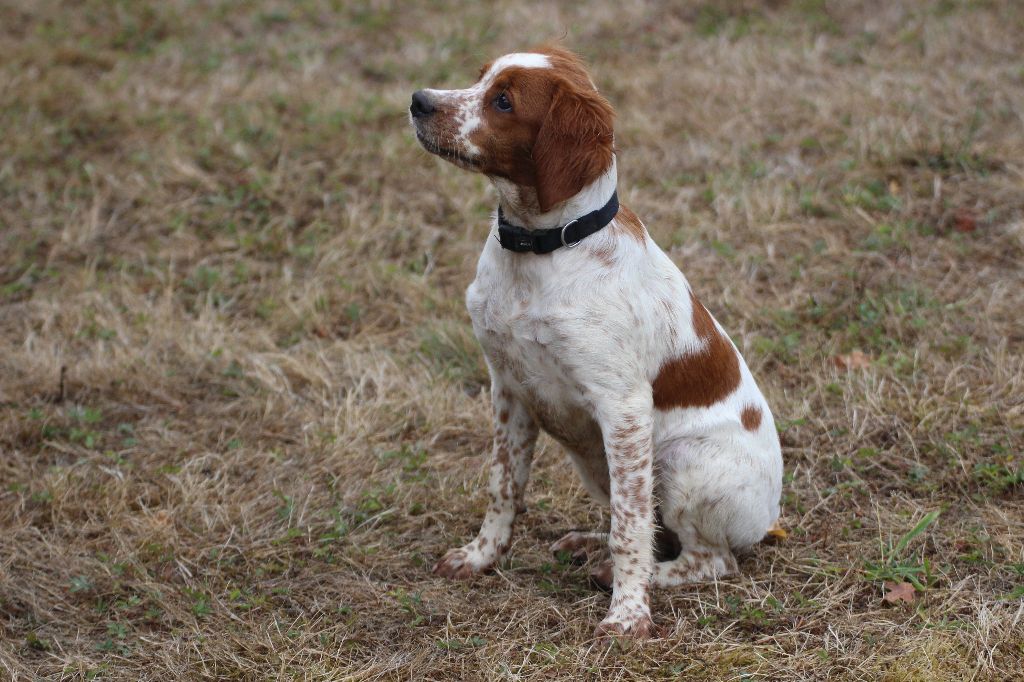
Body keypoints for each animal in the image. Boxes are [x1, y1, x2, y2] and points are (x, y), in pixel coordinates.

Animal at [407, 47, 782, 638]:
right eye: (480, 77)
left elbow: (631, 526)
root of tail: (772, 517)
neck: (539, 252)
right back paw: (589, 545)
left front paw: (628, 616)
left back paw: (627, 573)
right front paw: (480, 557)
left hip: (679, 463)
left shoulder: (623, 408)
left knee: (710, 559)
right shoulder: (508, 389)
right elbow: (503, 486)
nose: (419, 101)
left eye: (504, 101)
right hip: (595, 460)